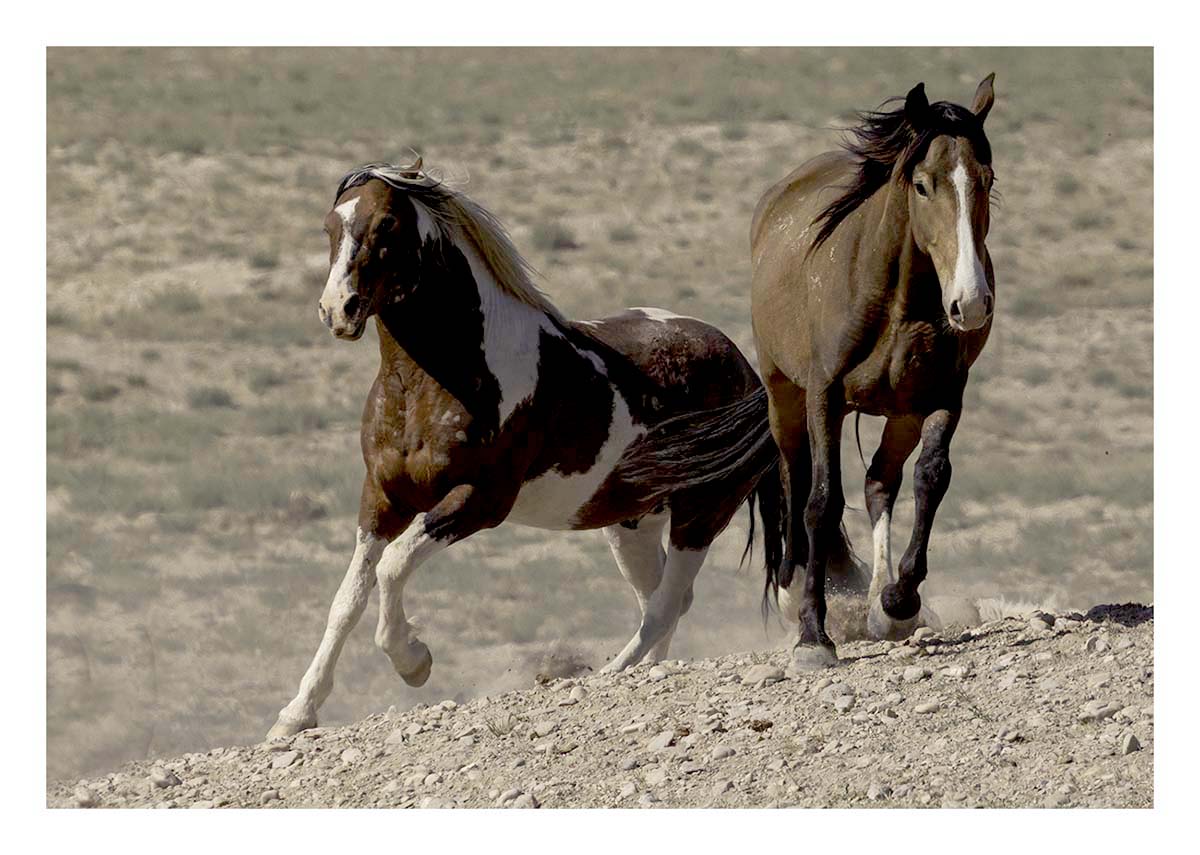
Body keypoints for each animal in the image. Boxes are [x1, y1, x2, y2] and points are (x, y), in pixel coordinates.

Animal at [268, 160, 782, 740]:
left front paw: (414, 660)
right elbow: (347, 599)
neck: (440, 380)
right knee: (665, 600)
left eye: (387, 226)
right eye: (329, 227)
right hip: (632, 523)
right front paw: (295, 715)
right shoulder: (381, 498)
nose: (338, 310)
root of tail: (744, 369)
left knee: (664, 607)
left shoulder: (480, 501)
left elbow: (393, 568)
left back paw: (607, 674)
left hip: (703, 510)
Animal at [624, 76, 998, 669]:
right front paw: (812, 636)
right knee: (797, 481)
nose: (972, 302)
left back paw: (881, 606)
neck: (895, 301)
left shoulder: (942, 396)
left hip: (901, 411)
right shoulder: (825, 397)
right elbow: (821, 503)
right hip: (786, 398)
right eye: (922, 184)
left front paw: (899, 599)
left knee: (880, 483)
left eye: (987, 180)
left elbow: (931, 478)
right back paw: (791, 584)